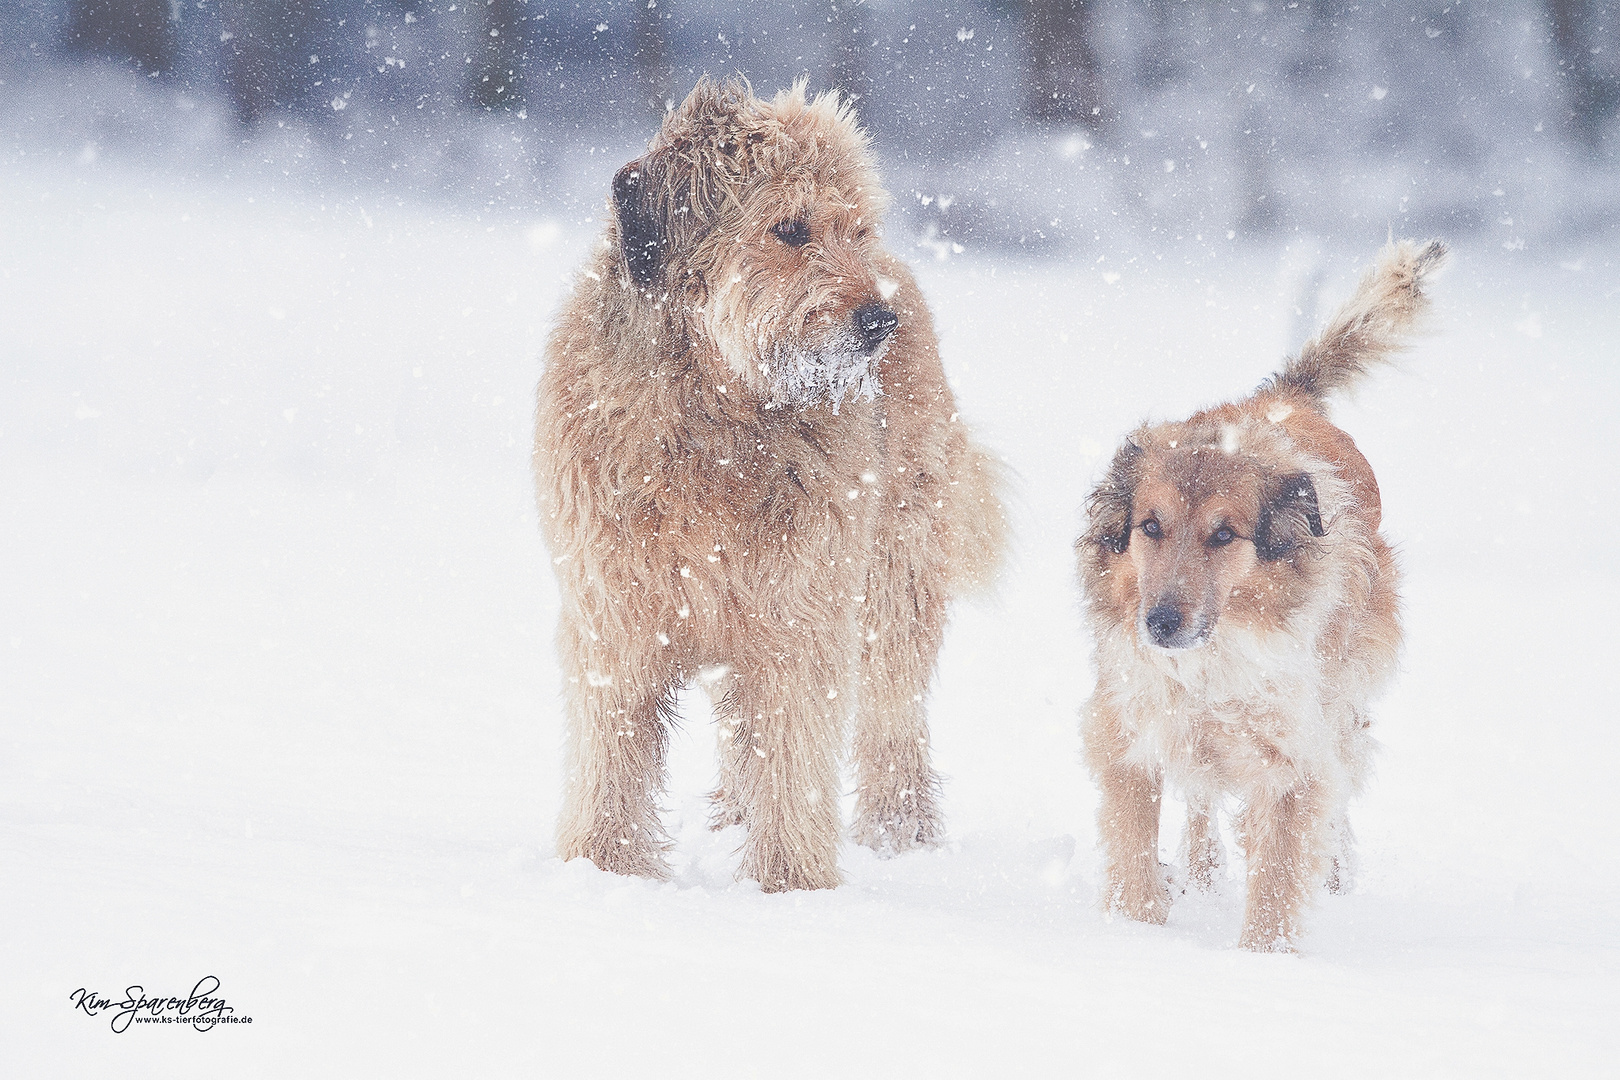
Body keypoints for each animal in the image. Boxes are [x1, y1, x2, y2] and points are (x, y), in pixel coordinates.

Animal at [537, 78, 1004, 893]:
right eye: (789, 228)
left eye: (855, 229)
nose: (877, 321)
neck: (712, 412)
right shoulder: (613, 611)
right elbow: (612, 752)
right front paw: (603, 868)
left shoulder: (802, 610)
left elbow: (793, 753)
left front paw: (790, 887)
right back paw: (731, 816)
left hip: (894, 574)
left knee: (891, 716)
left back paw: (899, 831)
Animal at [1075, 241, 1445, 952]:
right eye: (1150, 526)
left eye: (1225, 533)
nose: (1160, 624)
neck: (1212, 662)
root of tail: (1286, 396)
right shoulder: (1132, 731)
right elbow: (1136, 857)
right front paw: (1139, 938)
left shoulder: (1295, 756)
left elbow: (1279, 876)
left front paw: (1264, 963)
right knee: (1200, 802)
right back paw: (1202, 873)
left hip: (1343, 702)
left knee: (1337, 786)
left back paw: (1330, 869)